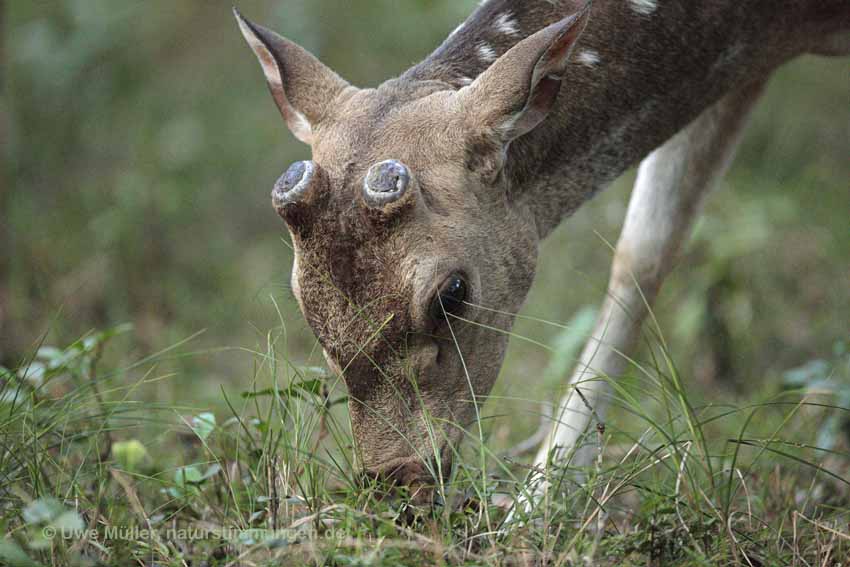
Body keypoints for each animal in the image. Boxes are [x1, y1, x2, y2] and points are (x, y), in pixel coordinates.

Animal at [232, 0, 848, 502]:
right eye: (301, 297)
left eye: (452, 293)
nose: (395, 477)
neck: (782, 23)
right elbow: (645, 249)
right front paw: (540, 502)